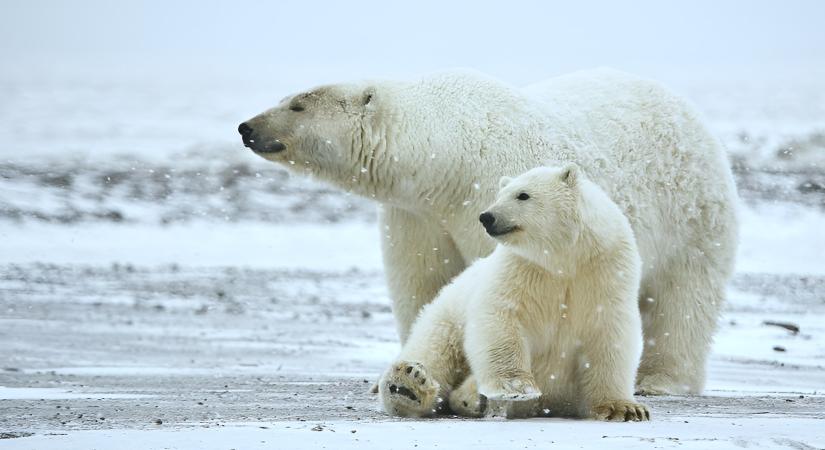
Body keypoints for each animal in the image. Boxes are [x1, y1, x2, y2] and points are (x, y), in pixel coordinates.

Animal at [374, 163, 652, 420]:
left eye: (523, 195)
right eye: (500, 194)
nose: (486, 217)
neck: (564, 258)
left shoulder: (605, 271)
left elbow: (609, 332)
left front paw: (624, 408)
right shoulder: (521, 268)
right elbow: (501, 315)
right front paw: (516, 387)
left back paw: (469, 396)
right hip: (448, 315)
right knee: (434, 348)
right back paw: (408, 385)